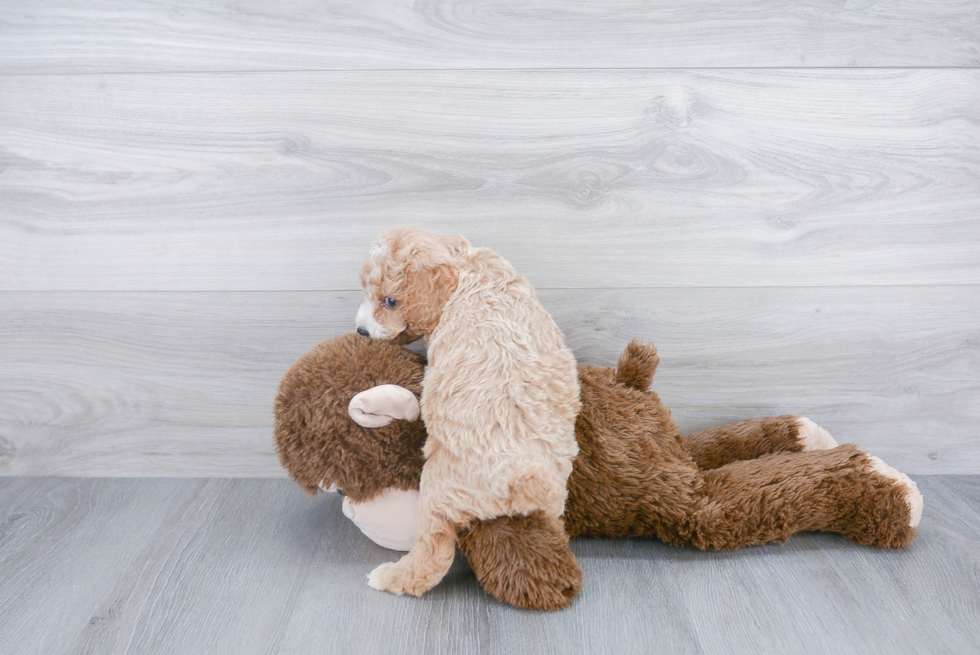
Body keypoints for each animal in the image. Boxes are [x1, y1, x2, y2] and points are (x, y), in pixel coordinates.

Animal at [354, 227, 580, 600]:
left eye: (390, 301)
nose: (360, 331)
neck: (465, 266)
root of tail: (519, 478)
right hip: (551, 498)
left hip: (437, 489)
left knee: (432, 554)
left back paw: (390, 576)